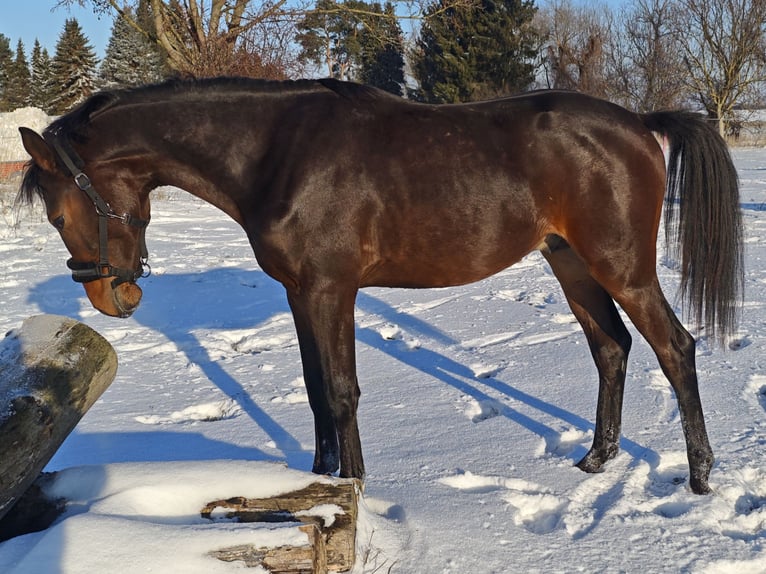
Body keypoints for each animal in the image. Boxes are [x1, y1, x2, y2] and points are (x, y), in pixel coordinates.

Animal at [18, 77, 743, 495]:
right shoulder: (299, 294)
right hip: (571, 263)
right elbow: (315, 391)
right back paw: (596, 460)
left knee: (675, 348)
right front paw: (317, 483)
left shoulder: (331, 290)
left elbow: (342, 392)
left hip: (622, 266)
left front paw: (357, 489)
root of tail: (640, 123)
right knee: (611, 348)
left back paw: (699, 476)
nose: (113, 297)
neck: (277, 151)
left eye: (58, 214)